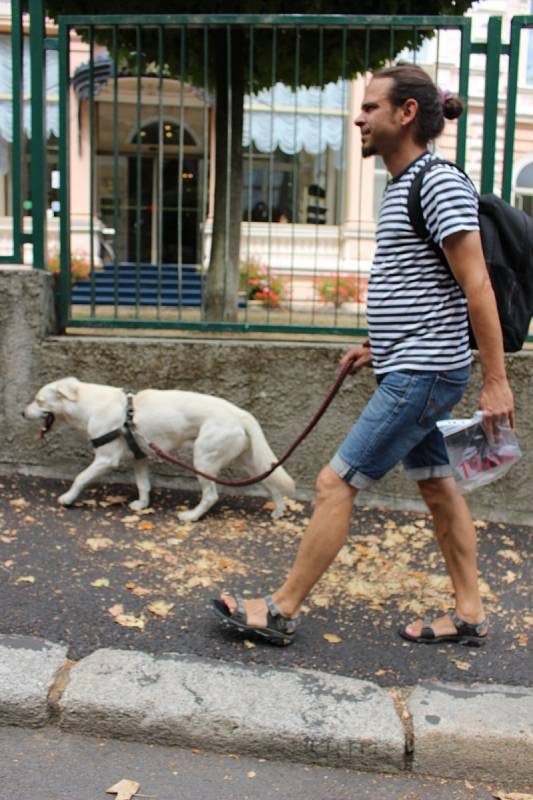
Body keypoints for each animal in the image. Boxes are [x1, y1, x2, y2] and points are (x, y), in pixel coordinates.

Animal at [22, 376, 296, 520]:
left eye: (39, 400)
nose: (22, 413)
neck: (90, 405)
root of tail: (240, 413)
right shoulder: (139, 457)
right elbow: (143, 485)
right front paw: (142, 505)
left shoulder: (106, 459)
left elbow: (80, 477)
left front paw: (68, 498)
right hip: (248, 462)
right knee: (271, 483)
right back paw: (279, 511)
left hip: (203, 459)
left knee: (211, 496)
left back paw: (191, 516)